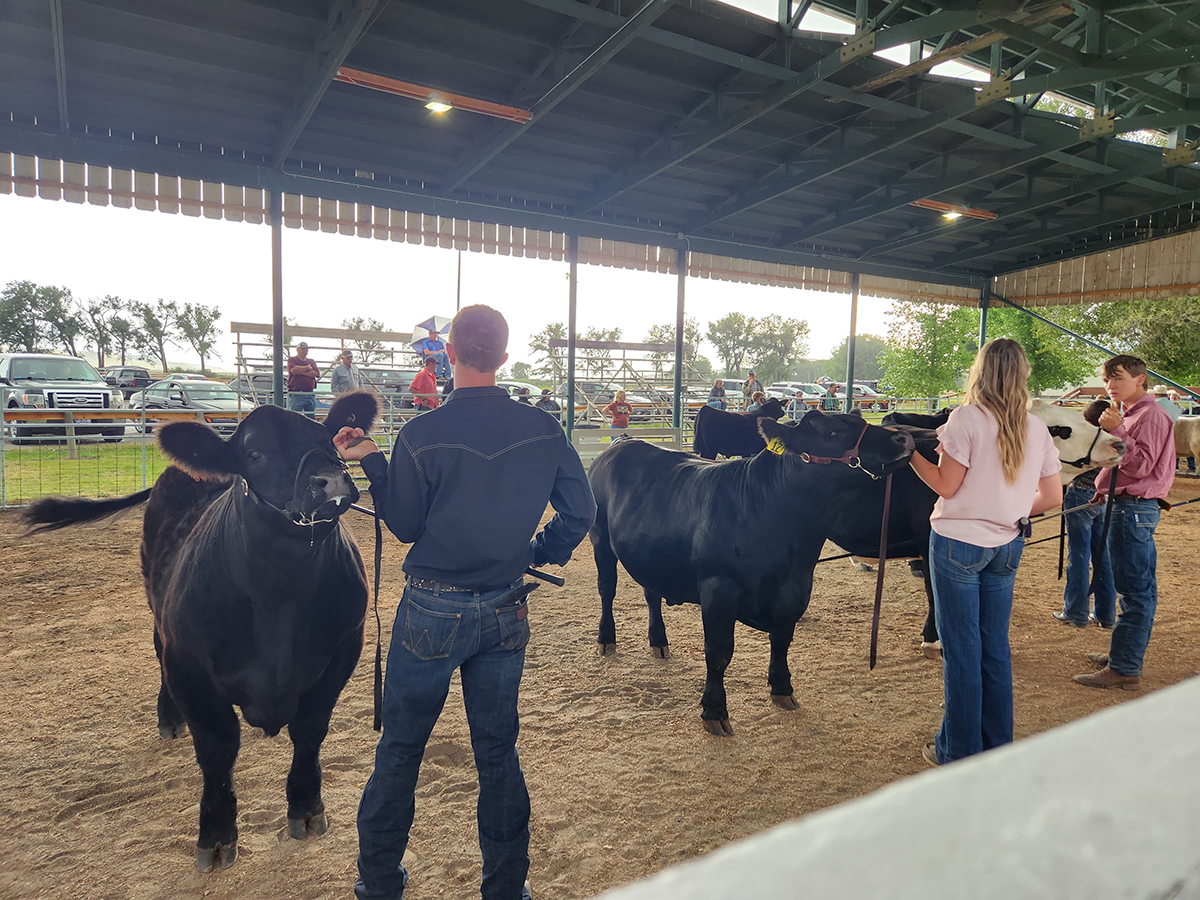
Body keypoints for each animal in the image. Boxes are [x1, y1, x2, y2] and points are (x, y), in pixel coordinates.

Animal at [24, 391, 379, 868]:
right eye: (254, 453)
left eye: (328, 438)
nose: (331, 479)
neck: (281, 598)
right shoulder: (190, 665)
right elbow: (217, 748)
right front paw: (215, 836)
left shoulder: (343, 652)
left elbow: (309, 731)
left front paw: (306, 811)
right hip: (158, 605)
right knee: (156, 648)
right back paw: (170, 719)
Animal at [585, 412, 912, 734]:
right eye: (833, 432)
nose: (904, 437)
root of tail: (623, 441)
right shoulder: (718, 589)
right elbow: (719, 653)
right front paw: (714, 711)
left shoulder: (794, 591)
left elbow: (781, 641)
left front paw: (783, 689)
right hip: (599, 536)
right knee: (606, 588)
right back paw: (606, 639)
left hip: (650, 552)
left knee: (651, 593)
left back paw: (659, 642)